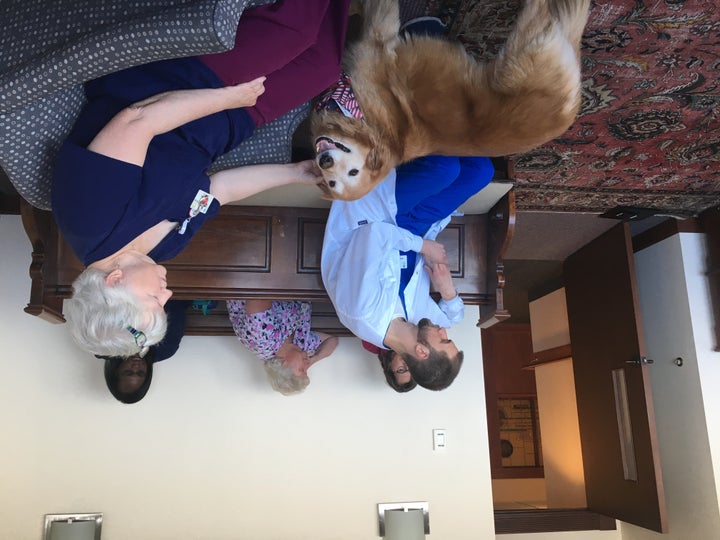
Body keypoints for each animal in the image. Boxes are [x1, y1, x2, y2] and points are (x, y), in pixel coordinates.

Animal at [310, 0, 592, 200]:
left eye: (353, 172)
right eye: (332, 181)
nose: (325, 161)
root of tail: (569, 109)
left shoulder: (376, 37)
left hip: (522, 46)